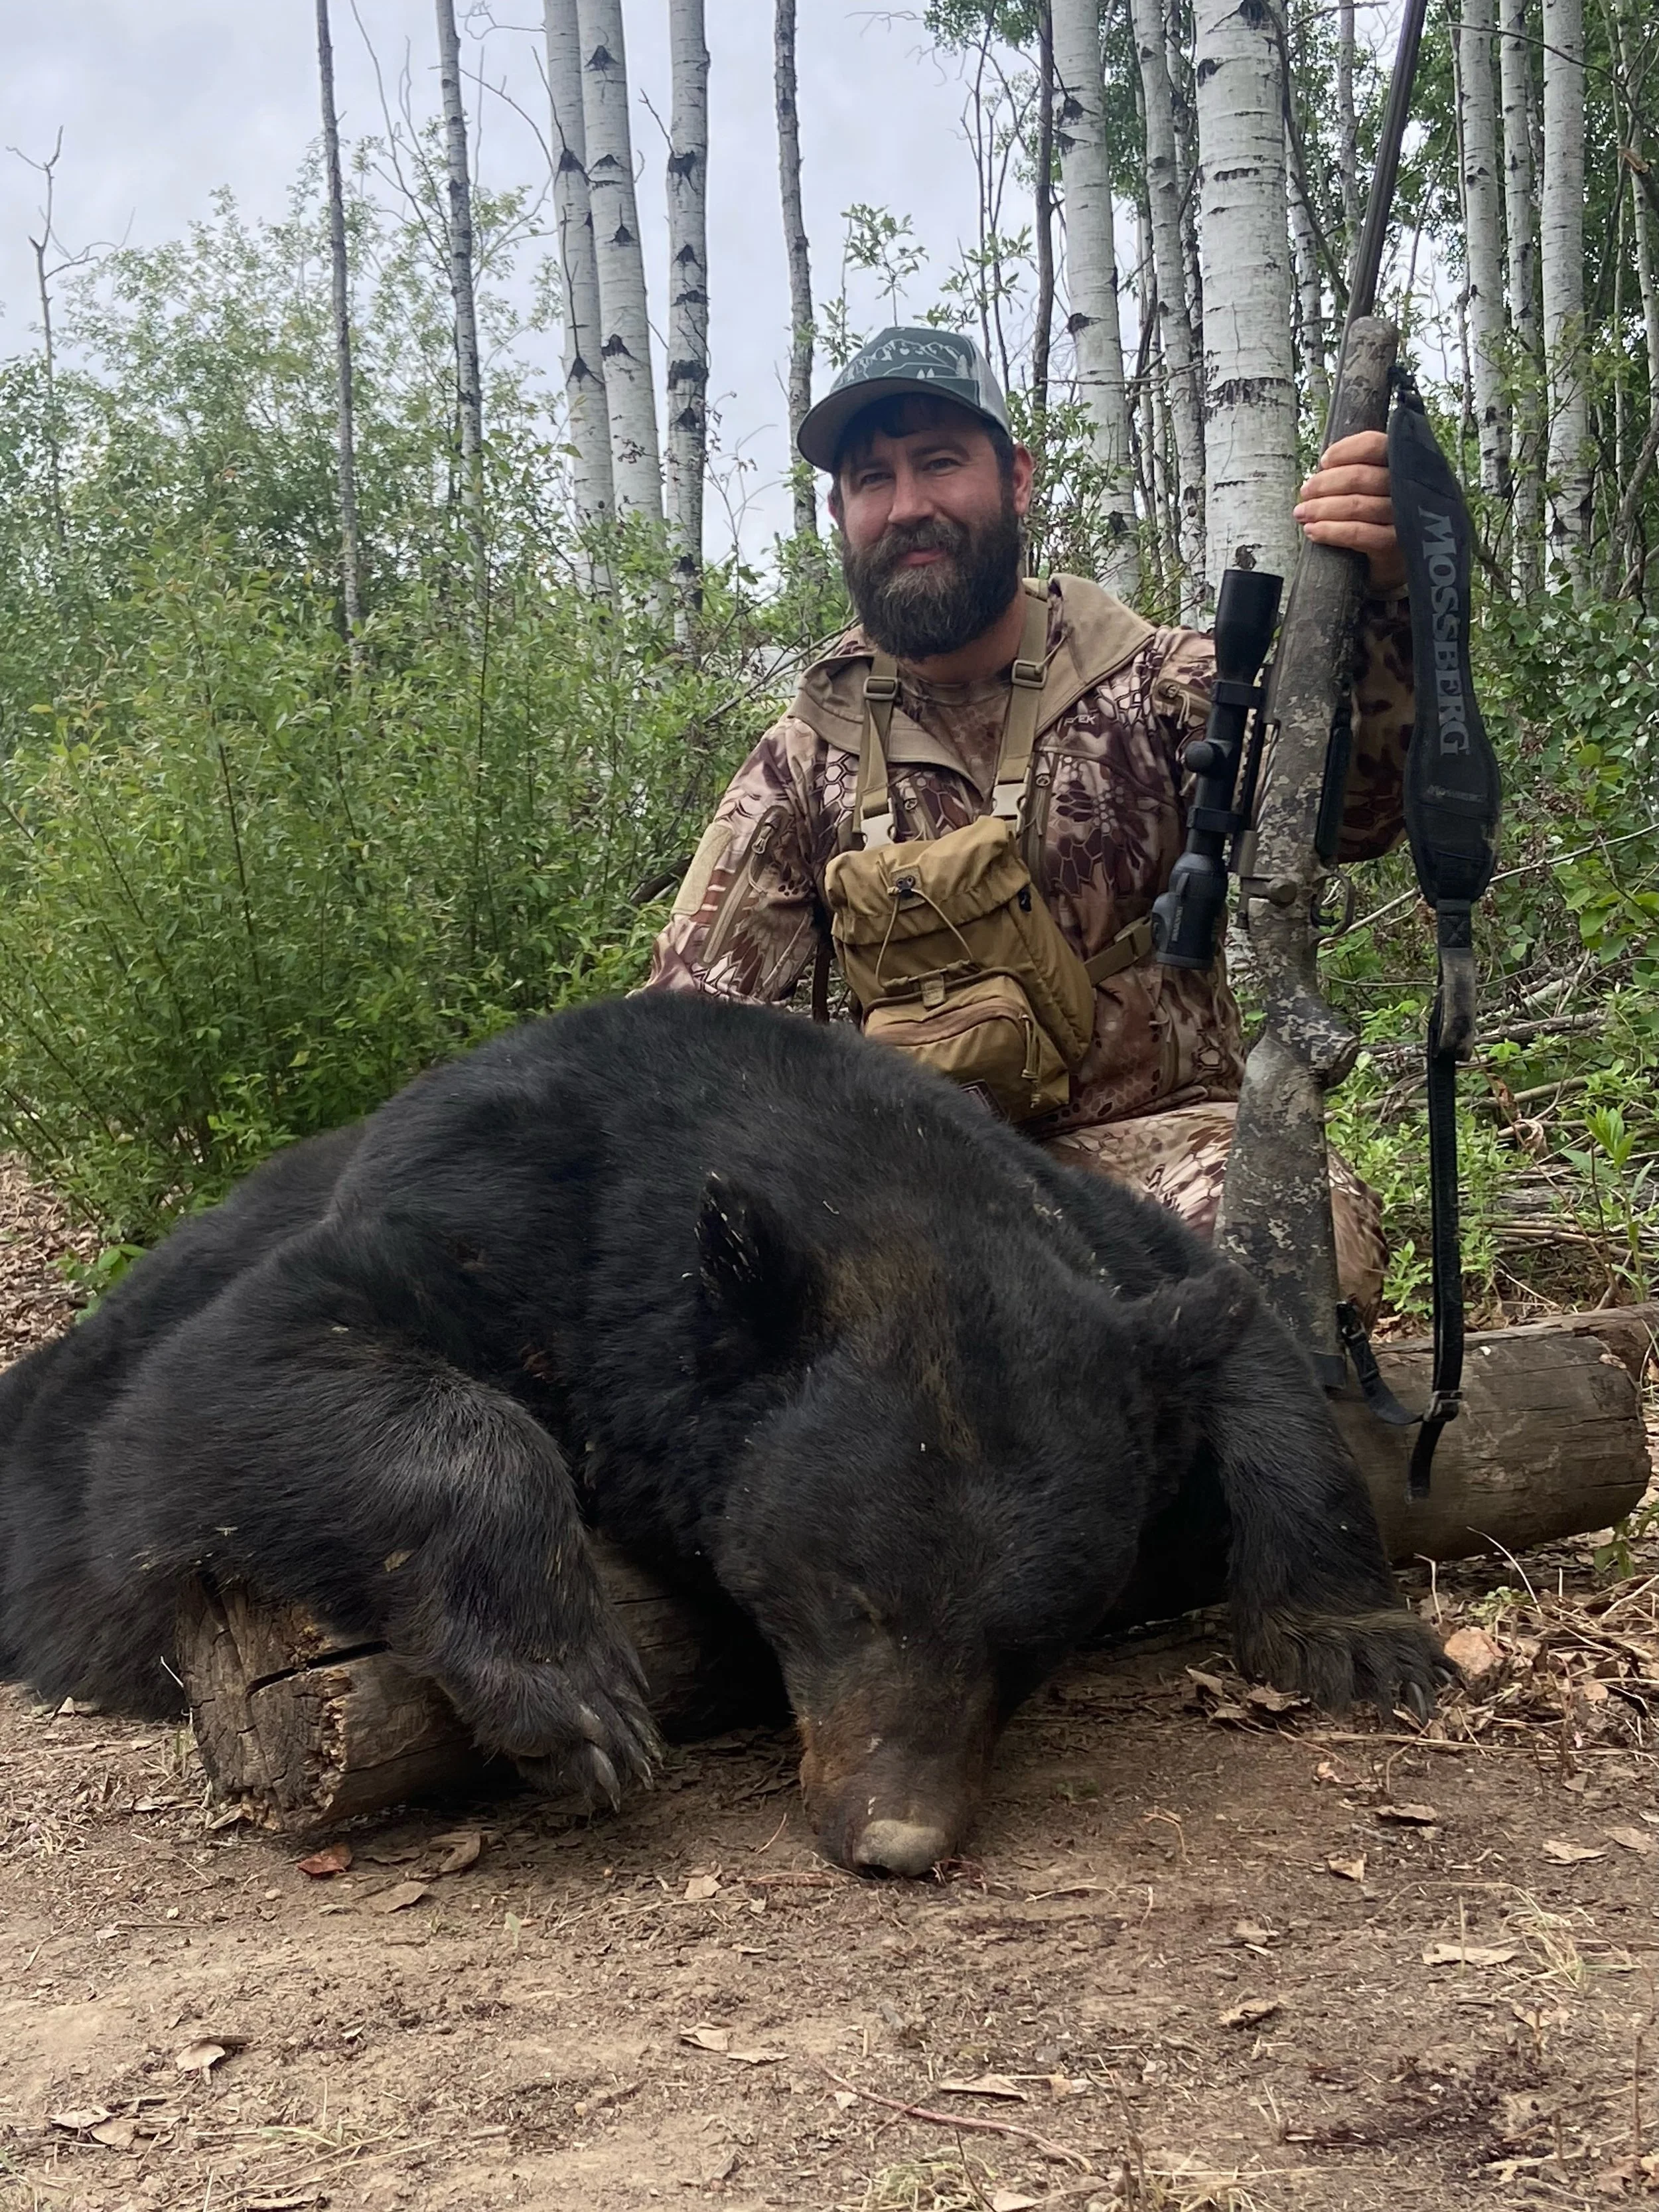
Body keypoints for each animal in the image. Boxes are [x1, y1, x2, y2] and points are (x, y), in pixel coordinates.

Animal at [0, 991, 1447, 1875]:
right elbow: (228, 1380)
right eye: (854, 1599)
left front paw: (1360, 1634)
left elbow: (1242, 1327)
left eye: (1036, 1641)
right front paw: (569, 1695)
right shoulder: (508, 1210)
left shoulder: (1091, 1238)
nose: (896, 1835)